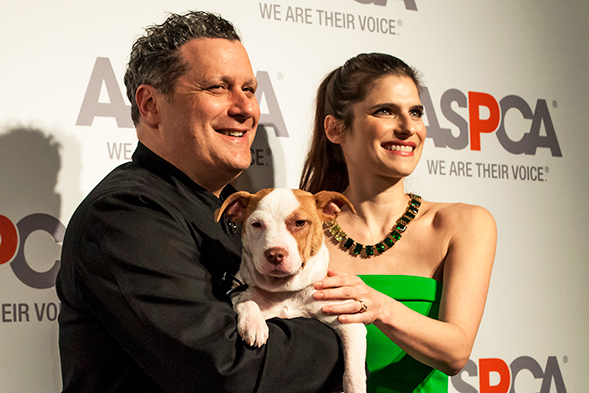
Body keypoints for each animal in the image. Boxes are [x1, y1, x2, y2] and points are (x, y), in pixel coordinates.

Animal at [214, 188, 366, 392]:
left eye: (300, 223)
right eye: (256, 224)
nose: (274, 254)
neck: (285, 290)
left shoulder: (348, 321)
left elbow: (353, 373)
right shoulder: (240, 290)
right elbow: (247, 300)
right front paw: (253, 324)